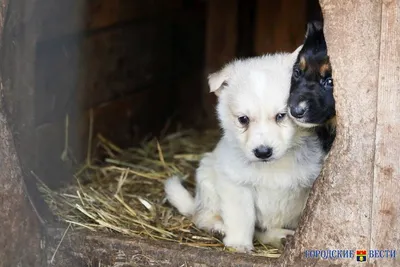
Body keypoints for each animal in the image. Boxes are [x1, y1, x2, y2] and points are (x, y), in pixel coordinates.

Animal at [164, 47, 324, 253]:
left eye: (281, 115)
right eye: (243, 119)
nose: (263, 152)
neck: (272, 167)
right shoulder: (236, 184)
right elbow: (242, 219)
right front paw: (239, 245)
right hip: (207, 179)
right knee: (201, 216)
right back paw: (217, 226)